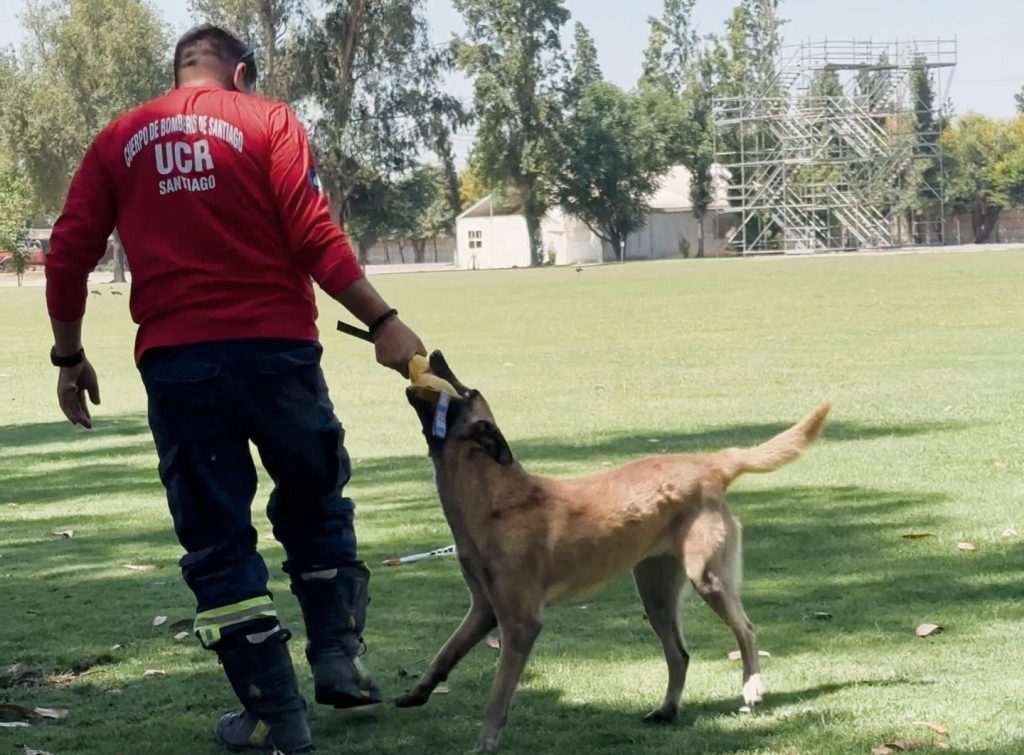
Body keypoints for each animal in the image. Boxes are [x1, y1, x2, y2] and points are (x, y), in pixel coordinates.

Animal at [395, 352, 827, 749]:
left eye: (466, 392)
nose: (434, 353)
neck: (496, 498)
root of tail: (708, 464)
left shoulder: (520, 624)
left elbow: (498, 697)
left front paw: (484, 742)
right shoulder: (484, 610)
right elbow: (445, 654)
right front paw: (418, 692)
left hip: (707, 579)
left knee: (746, 631)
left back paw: (751, 690)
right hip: (656, 595)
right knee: (680, 654)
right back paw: (667, 710)